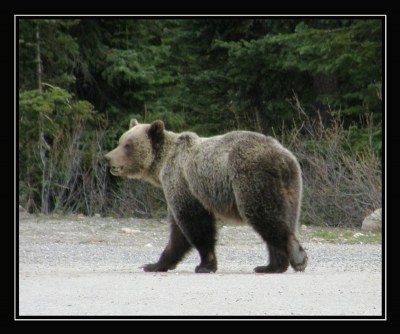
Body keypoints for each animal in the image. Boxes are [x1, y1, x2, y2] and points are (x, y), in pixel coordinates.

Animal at [104, 120, 308, 274]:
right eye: (121, 141)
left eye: (127, 145)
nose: (108, 157)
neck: (161, 166)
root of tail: (282, 159)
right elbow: (178, 232)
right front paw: (154, 264)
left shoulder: (181, 181)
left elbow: (194, 223)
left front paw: (205, 265)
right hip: (290, 188)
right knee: (285, 217)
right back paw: (270, 266)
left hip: (251, 178)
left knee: (262, 214)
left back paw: (296, 257)